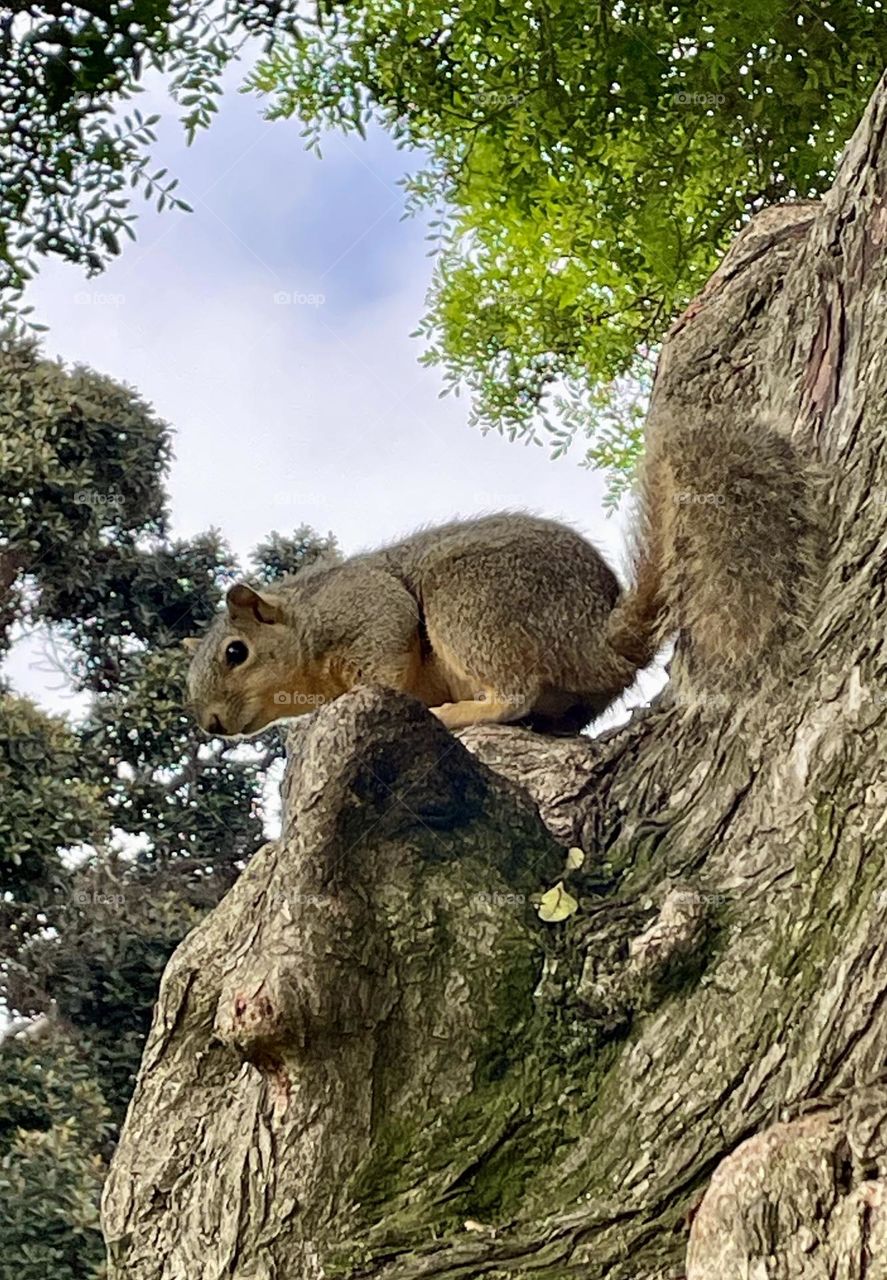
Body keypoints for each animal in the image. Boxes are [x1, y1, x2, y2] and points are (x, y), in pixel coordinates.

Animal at [185, 423, 823, 737]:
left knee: (513, 697)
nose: (213, 726)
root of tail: (595, 640)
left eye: (236, 653)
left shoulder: (367, 610)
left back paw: (457, 714)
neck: (305, 622)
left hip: (470, 604)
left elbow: (385, 666)